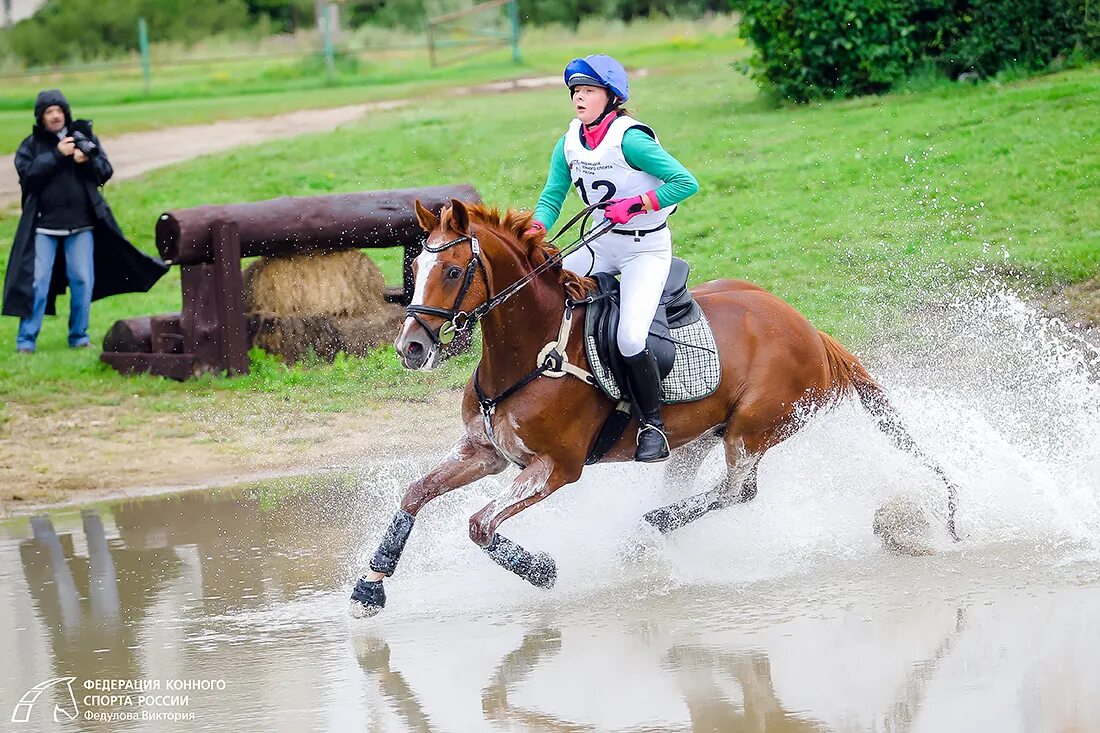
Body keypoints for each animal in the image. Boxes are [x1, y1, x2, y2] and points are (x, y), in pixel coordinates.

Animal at [347, 197, 959, 611]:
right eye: (413, 270)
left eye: (453, 271)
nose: (410, 348)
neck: (528, 352)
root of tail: (806, 327)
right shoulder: (486, 452)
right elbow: (416, 492)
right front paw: (371, 585)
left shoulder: (555, 468)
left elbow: (478, 525)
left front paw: (540, 570)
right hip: (698, 437)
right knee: (704, 486)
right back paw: (648, 535)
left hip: (753, 429)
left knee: (738, 491)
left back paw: (643, 532)